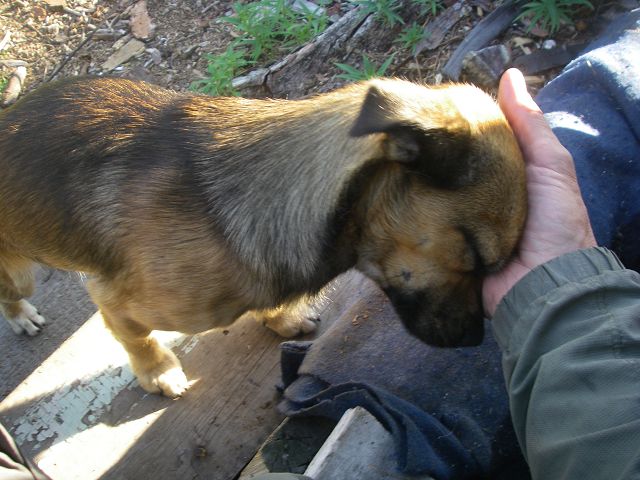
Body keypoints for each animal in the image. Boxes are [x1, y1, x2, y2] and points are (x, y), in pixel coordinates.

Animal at [0, 77, 526, 397]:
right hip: (21, 271)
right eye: (474, 255)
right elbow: (139, 339)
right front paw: (157, 372)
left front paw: (279, 318)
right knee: (12, 293)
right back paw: (22, 316)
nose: (475, 341)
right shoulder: (113, 300)